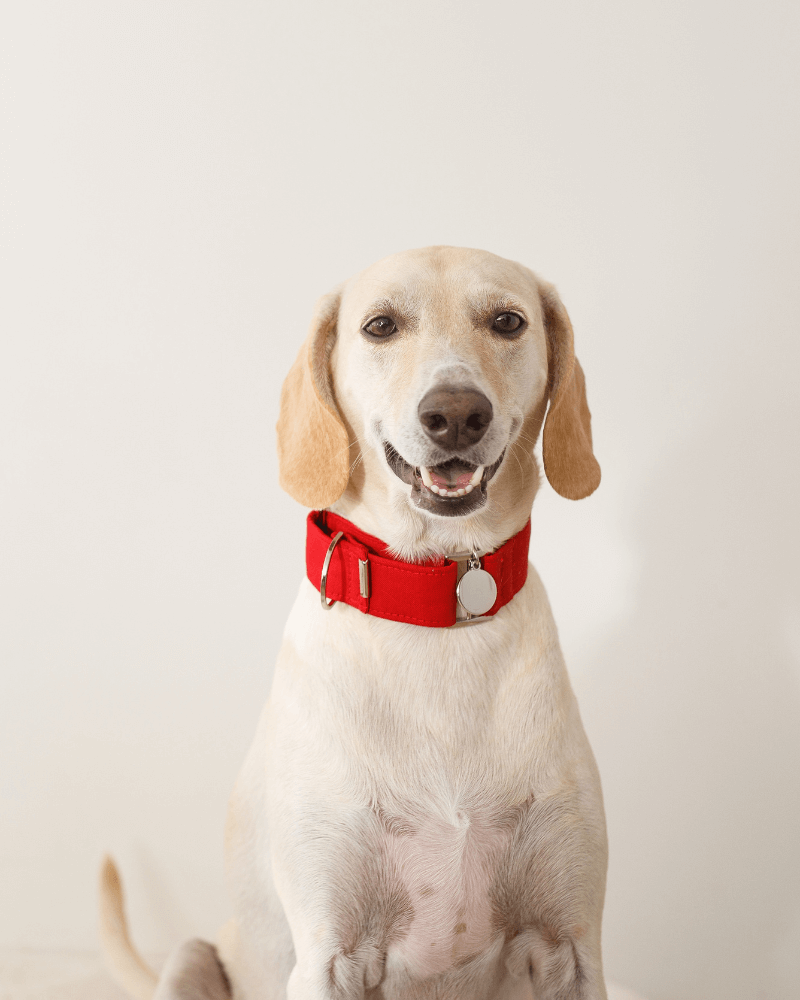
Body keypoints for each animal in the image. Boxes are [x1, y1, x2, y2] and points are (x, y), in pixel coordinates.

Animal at [103, 244, 608, 1000]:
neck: (433, 610)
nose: (455, 413)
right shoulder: (329, 952)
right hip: (193, 955)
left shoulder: (569, 947)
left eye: (508, 321)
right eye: (380, 326)